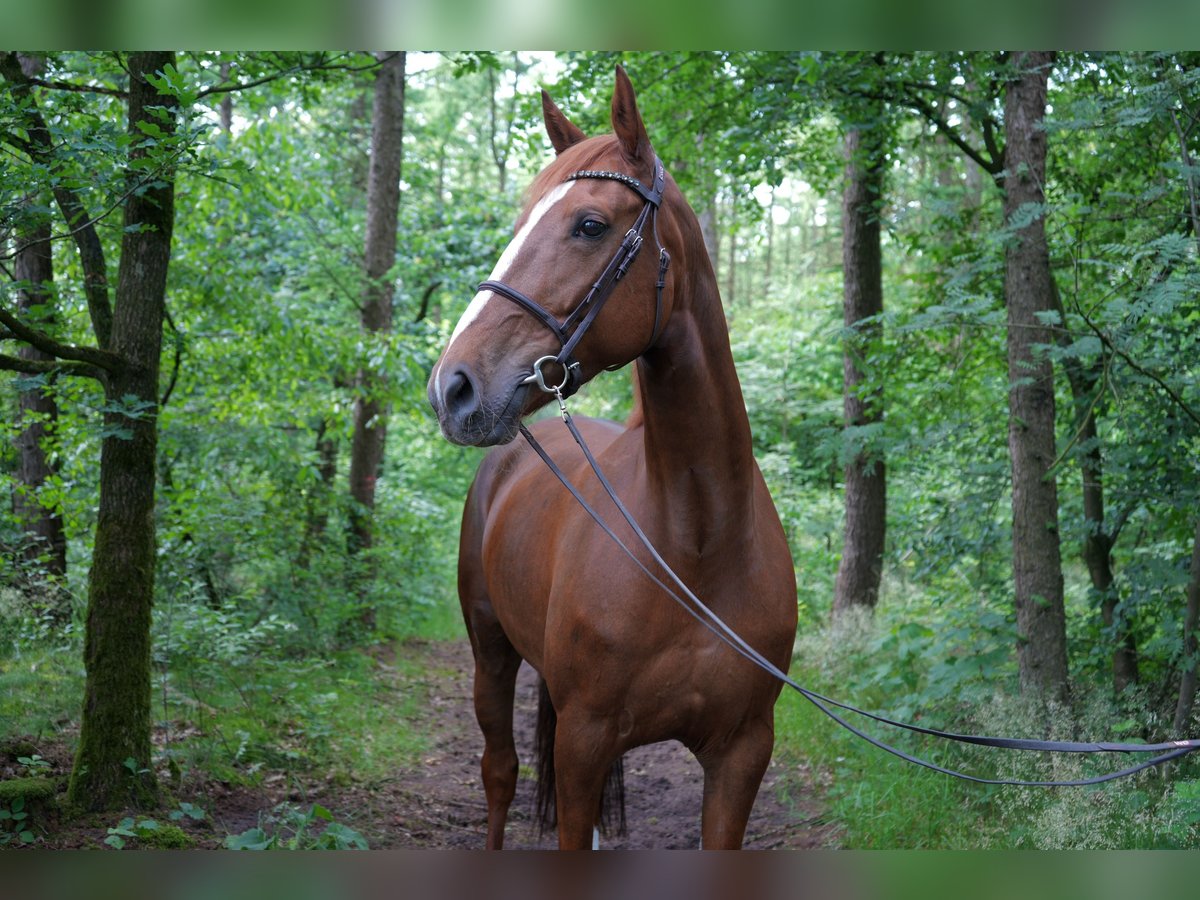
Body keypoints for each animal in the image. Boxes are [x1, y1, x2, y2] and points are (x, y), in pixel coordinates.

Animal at [427, 66, 801, 849]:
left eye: (590, 225)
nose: (452, 386)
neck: (696, 545)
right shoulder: (584, 741)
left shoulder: (743, 753)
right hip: (490, 651)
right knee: (500, 772)